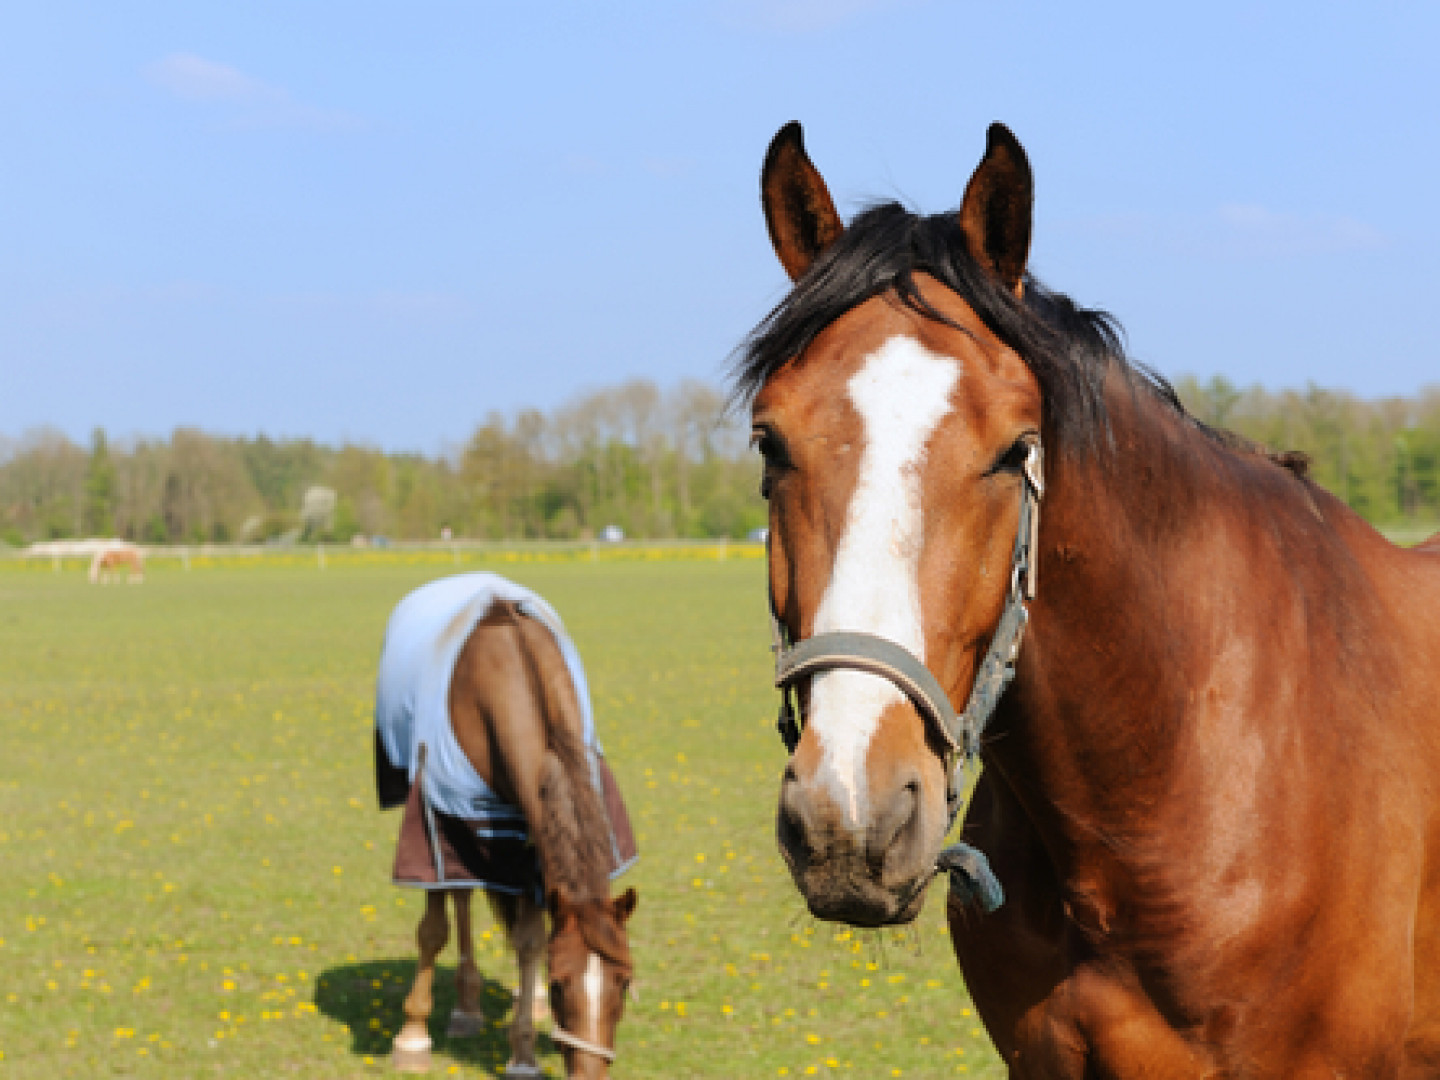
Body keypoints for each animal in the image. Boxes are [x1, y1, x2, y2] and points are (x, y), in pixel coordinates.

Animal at [374, 574, 638, 1079]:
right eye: (560, 983)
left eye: (625, 980)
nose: (590, 1075)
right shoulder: (436, 820)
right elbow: (432, 930)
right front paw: (412, 1037)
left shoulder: (530, 839)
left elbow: (531, 939)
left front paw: (524, 1053)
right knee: (459, 896)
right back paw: (465, 1008)